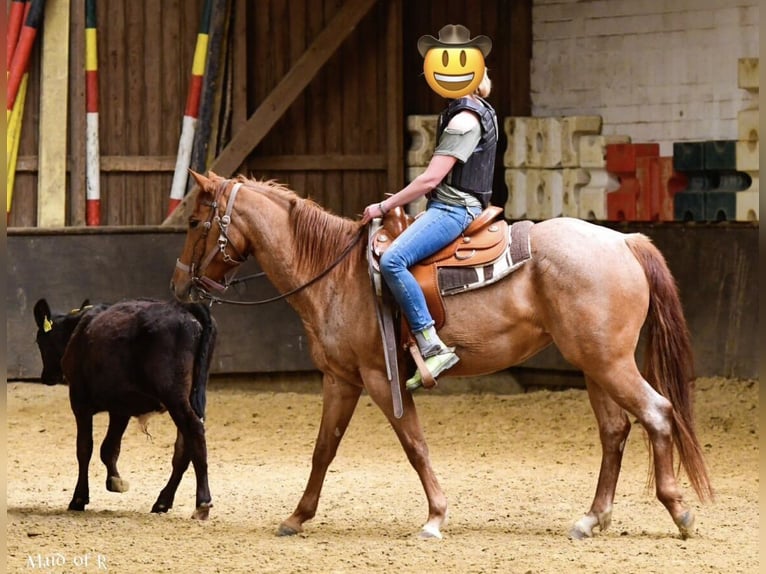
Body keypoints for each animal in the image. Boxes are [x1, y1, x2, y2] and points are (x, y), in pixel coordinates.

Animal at [33, 297, 217, 519]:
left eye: (40, 341)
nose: (47, 376)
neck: (78, 329)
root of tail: (187, 308)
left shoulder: (80, 403)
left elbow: (85, 448)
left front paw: (79, 498)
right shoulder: (121, 408)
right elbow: (109, 448)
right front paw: (115, 481)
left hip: (174, 396)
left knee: (194, 431)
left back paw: (202, 502)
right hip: (193, 396)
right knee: (185, 446)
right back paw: (162, 502)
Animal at [170, 170, 712, 540]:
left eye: (195, 221)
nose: (178, 284)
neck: (333, 273)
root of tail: (624, 240)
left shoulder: (379, 377)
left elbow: (414, 444)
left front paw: (434, 517)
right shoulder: (340, 379)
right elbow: (324, 448)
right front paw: (296, 517)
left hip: (609, 364)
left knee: (657, 413)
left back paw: (679, 511)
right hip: (594, 364)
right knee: (615, 431)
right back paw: (591, 518)